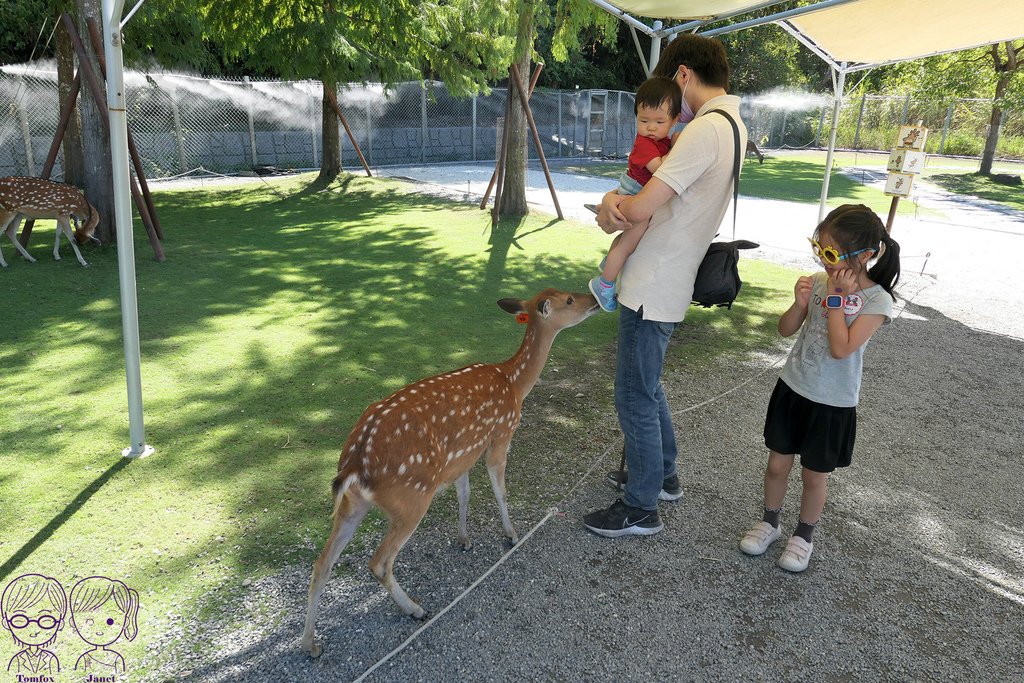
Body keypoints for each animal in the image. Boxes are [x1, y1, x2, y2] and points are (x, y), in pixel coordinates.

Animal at [296, 288, 598, 655]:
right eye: (569, 299)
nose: (594, 300)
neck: (514, 384)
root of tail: (355, 463)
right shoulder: (501, 435)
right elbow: (500, 490)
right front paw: (511, 535)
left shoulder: (461, 455)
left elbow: (465, 493)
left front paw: (465, 540)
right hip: (411, 497)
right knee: (379, 562)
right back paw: (415, 609)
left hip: (352, 504)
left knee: (321, 564)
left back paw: (310, 644)